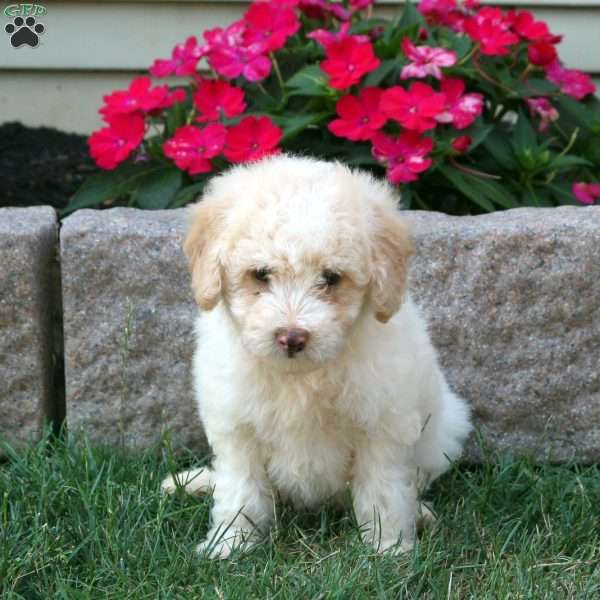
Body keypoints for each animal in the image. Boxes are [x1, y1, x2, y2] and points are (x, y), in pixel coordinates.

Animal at [162, 155, 472, 556]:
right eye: (260, 274)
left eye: (331, 277)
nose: (291, 338)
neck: (302, 377)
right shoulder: (237, 427)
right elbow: (240, 490)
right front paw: (231, 544)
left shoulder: (382, 425)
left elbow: (384, 490)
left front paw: (389, 548)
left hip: (446, 428)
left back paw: (420, 515)